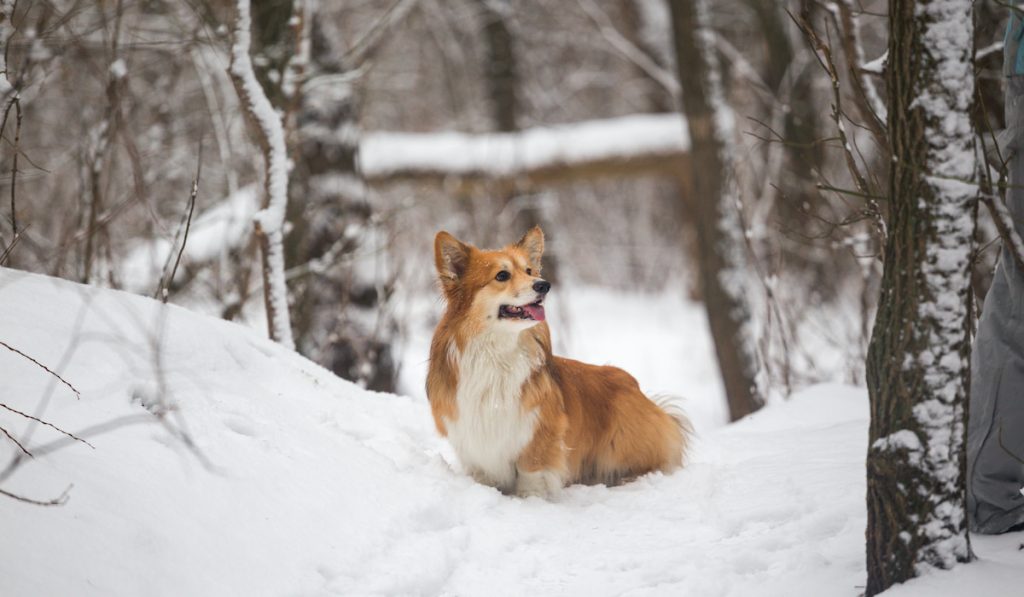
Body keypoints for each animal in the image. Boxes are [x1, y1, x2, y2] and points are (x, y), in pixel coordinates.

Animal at [423, 226, 688, 497]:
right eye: (502, 275)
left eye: (529, 271)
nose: (544, 285)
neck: (497, 352)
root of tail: (641, 393)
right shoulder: (473, 439)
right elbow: (484, 474)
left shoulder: (539, 434)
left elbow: (531, 473)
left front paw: (530, 500)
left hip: (622, 442)